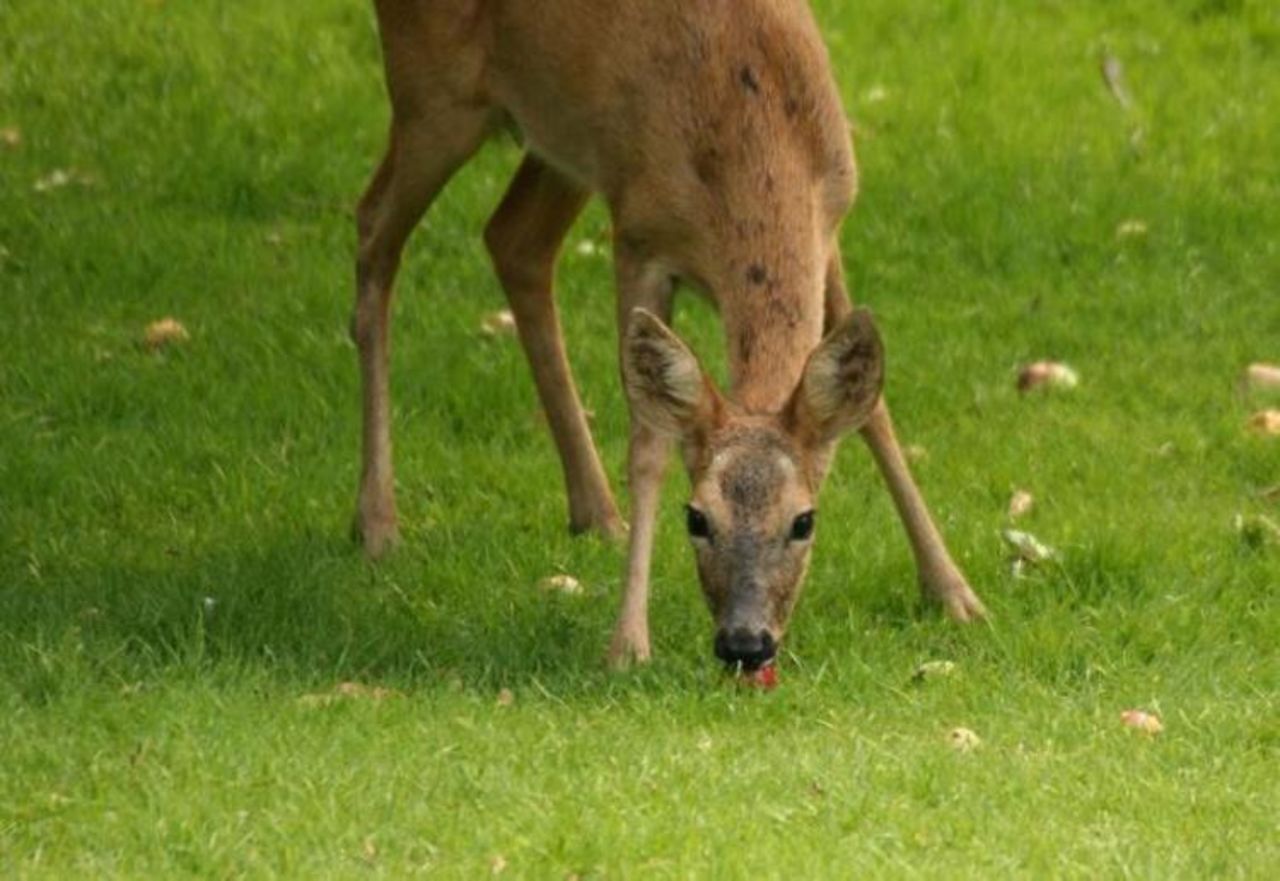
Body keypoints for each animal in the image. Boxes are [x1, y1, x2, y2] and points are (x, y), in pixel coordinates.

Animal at [350, 0, 988, 670]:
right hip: (433, 94)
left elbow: (876, 416)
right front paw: (628, 645)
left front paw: (954, 593)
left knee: (514, 239)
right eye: (697, 518)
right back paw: (377, 523)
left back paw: (598, 514)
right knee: (374, 229)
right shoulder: (640, 237)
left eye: (804, 521)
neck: (757, 134)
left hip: (560, 141)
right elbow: (649, 445)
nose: (745, 643)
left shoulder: (829, 224)